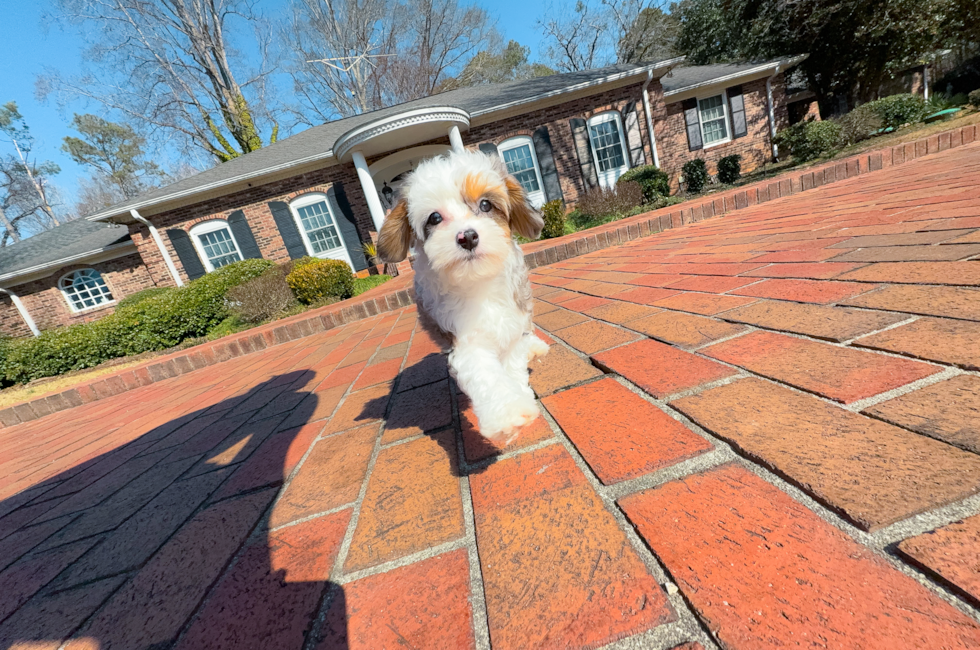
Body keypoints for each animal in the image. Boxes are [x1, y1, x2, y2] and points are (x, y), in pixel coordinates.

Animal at [378, 148, 552, 440]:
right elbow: (485, 372)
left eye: (486, 205)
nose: (467, 237)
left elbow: (513, 362)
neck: (478, 282)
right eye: (435, 218)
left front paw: (518, 395)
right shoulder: (465, 338)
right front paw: (508, 414)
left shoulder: (512, 323)